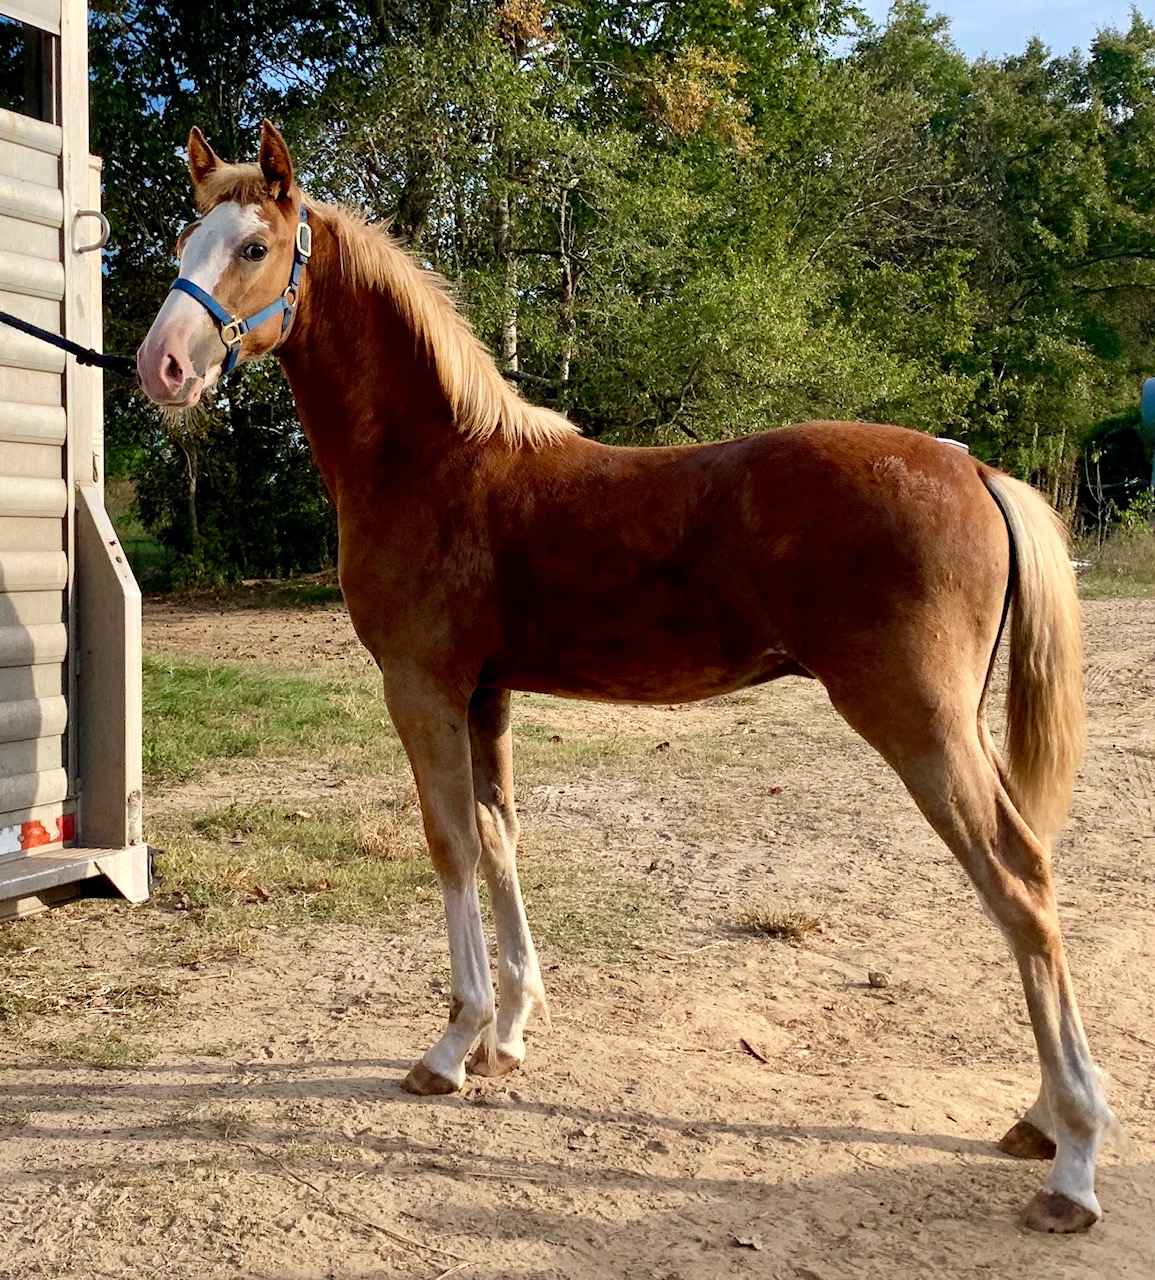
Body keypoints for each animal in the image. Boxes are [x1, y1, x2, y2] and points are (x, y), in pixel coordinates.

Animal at [140, 122, 1116, 1228]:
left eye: (255, 246)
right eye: (183, 239)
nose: (160, 367)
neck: (436, 459)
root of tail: (975, 468)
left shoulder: (422, 687)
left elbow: (450, 847)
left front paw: (452, 1044)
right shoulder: (487, 694)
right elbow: (500, 838)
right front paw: (510, 1032)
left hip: (920, 723)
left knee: (1019, 884)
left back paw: (1072, 1161)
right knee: (1030, 877)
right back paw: (1040, 1121)